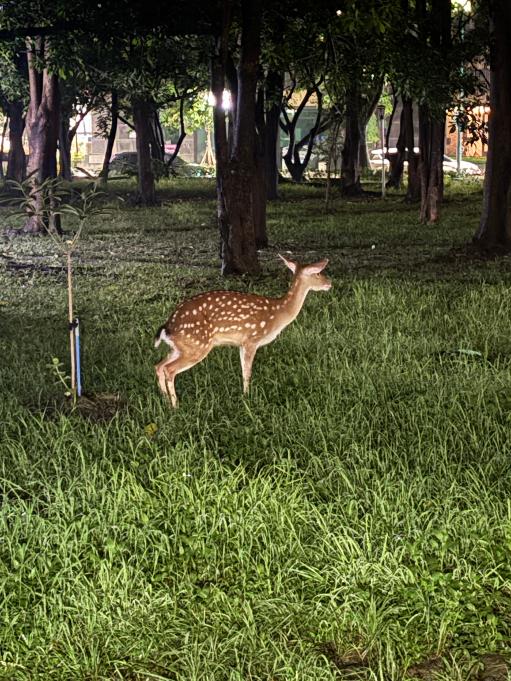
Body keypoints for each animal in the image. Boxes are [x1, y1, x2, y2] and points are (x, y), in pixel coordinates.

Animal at [154, 254, 331, 407]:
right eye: (317, 273)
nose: (329, 283)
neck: (278, 313)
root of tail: (167, 327)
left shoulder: (241, 343)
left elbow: (243, 370)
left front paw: (244, 395)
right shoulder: (251, 339)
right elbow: (247, 372)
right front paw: (248, 397)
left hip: (182, 346)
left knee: (159, 366)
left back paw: (165, 400)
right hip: (197, 345)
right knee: (169, 369)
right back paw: (175, 405)